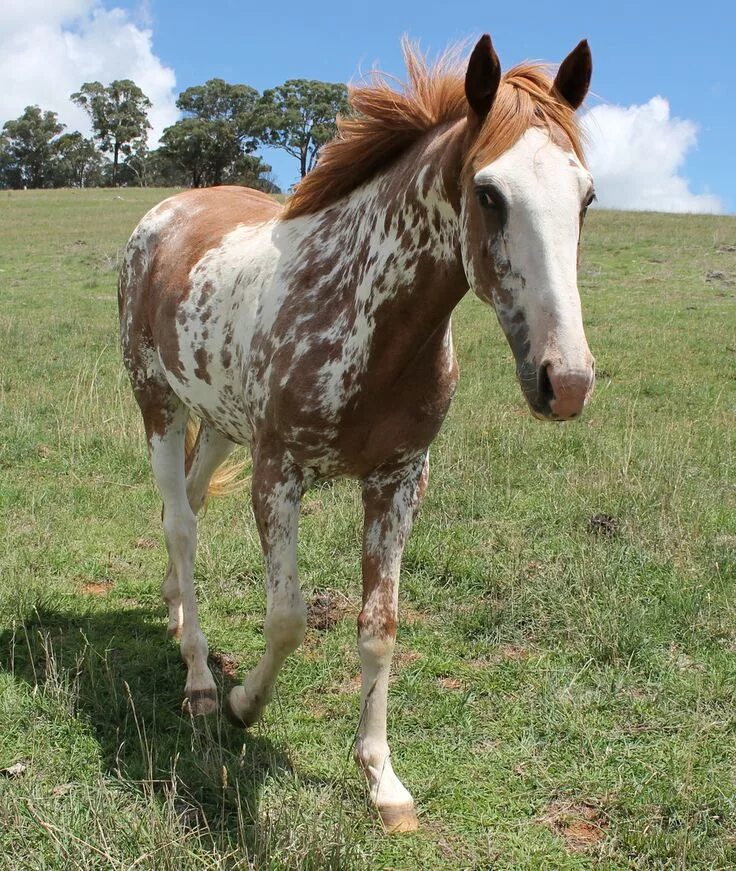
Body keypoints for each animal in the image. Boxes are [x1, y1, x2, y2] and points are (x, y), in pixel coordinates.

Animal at [118, 34, 596, 836]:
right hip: (159, 403)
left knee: (184, 506)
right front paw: (245, 704)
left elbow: (381, 627)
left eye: (586, 196)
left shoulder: (399, 480)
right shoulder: (278, 474)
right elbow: (286, 618)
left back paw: (179, 616)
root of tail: (169, 210)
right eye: (488, 193)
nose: (566, 381)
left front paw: (382, 779)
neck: (364, 316)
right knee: (182, 525)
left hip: (216, 422)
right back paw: (200, 679)